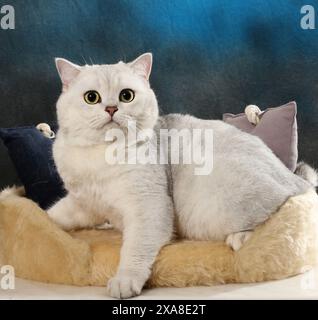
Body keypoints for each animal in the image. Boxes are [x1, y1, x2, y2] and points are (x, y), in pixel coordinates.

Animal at [48, 52, 312, 298]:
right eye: (91, 97)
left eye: (126, 96)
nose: (111, 108)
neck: (99, 157)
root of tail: (294, 177)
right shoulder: (84, 203)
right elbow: (55, 214)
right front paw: (41, 222)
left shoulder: (149, 206)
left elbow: (134, 248)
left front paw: (125, 280)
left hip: (218, 204)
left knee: (278, 212)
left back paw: (241, 238)